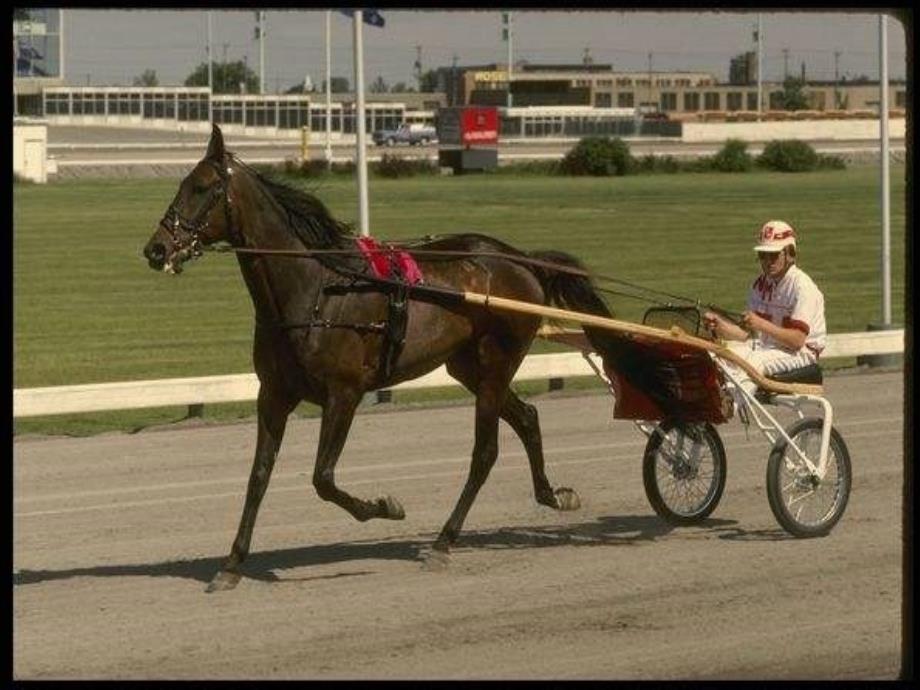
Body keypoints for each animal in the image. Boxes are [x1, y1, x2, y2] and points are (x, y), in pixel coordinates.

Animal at [144, 125, 616, 592]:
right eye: (182, 184)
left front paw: (386, 506)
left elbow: (323, 478)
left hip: (497, 363)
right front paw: (232, 563)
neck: (315, 290)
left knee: (485, 452)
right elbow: (258, 476)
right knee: (528, 418)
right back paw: (553, 495)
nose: (156, 249)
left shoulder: (344, 394)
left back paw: (443, 542)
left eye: (201, 187)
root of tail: (522, 260)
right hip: (469, 367)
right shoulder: (274, 394)